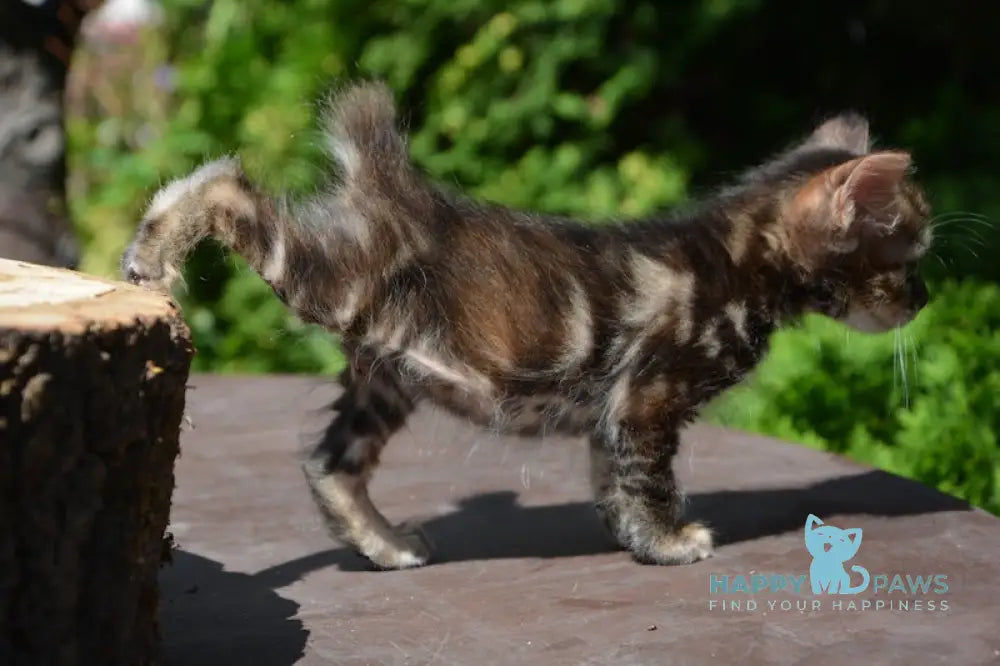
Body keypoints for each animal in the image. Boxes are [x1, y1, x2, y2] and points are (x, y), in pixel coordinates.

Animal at [121, 78, 932, 564]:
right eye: (912, 253)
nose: (923, 300)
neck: (734, 258)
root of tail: (386, 182)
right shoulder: (648, 396)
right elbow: (650, 478)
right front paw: (672, 541)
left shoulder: (616, 410)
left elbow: (615, 479)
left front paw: (634, 539)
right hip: (333, 284)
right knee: (226, 183)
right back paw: (152, 250)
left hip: (387, 375)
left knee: (329, 465)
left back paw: (386, 545)